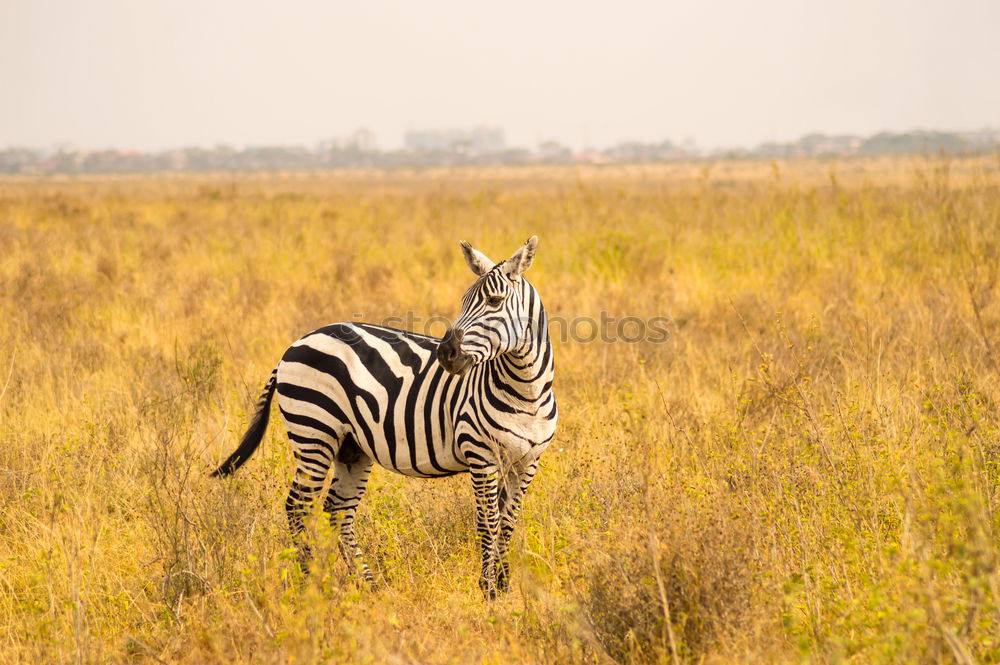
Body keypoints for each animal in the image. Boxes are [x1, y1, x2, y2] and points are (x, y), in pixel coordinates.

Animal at [211, 237, 556, 596]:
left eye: (494, 301)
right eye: (464, 301)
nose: (445, 353)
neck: (526, 392)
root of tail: (297, 343)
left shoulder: (527, 461)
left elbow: (508, 522)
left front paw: (503, 587)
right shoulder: (481, 455)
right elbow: (488, 523)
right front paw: (487, 590)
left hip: (351, 448)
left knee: (338, 510)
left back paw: (369, 586)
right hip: (314, 431)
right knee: (299, 506)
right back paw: (311, 587)